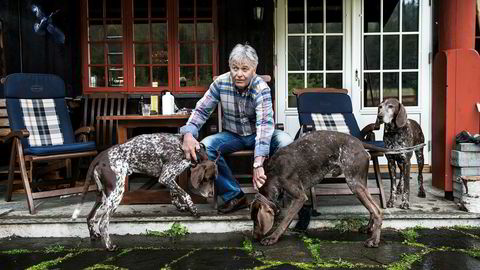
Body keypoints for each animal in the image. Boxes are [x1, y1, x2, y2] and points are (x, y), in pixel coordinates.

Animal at [71, 133, 218, 251]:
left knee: (90, 217)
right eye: (206, 179)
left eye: (214, 179)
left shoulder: (169, 178)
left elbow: (174, 193)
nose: (211, 194)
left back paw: (94, 236)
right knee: (103, 223)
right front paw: (193, 208)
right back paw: (109, 246)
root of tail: (100, 157)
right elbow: (185, 194)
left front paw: (180, 206)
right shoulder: (165, 176)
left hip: (103, 195)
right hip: (116, 193)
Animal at [251, 130, 382, 247]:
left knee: (377, 210)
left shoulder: (299, 197)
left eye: (256, 221)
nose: (254, 237)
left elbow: (285, 221)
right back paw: (368, 228)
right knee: (374, 206)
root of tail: (359, 143)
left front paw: (273, 238)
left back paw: (374, 240)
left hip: (355, 184)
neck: (275, 173)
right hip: (360, 183)